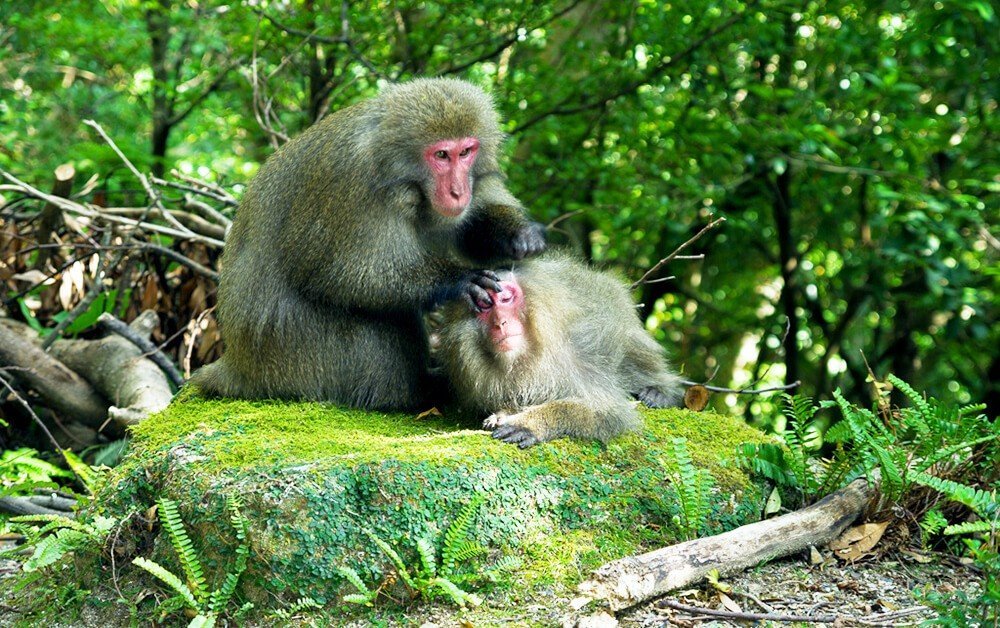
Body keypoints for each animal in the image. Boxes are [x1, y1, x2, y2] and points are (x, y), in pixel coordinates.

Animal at [191, 78, 544, 410]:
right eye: (442, 155)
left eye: (466, 152)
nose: (458, 191)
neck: (404, 177)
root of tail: (239, 365)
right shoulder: (353, 181)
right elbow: (344, 275)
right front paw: (459, 281)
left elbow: (467, 230)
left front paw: (520, 235)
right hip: (299, 359)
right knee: (382, 317)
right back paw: (415, 392)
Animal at [434, 253, 684, 448]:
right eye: (486, 305)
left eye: (505, 299)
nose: (500, 323)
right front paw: (505, 413)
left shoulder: (575, 357)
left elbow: (607, 411)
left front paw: (529, 423)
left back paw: (658, 392)